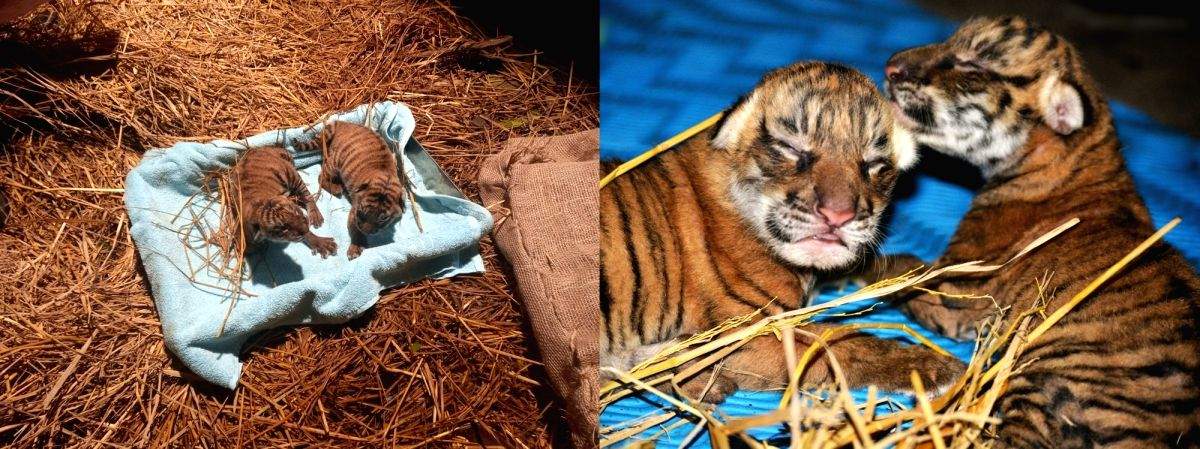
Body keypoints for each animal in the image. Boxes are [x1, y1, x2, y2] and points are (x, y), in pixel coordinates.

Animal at [300, 121, 406, 260]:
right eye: (362, 211)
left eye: (383, 218)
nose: (366, 231)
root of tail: (342, 123)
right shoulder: (354, 212)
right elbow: (355, 230)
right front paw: (355, 247)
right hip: (334, 163)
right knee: (321, 177)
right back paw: (337, 189)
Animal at [600, 61, 965, 404]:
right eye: (792, 149)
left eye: (873, 164)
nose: (838, 215)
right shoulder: (746, 333)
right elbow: (840, 341)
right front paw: (936, 366)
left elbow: (893, 265)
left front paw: (952, 295)